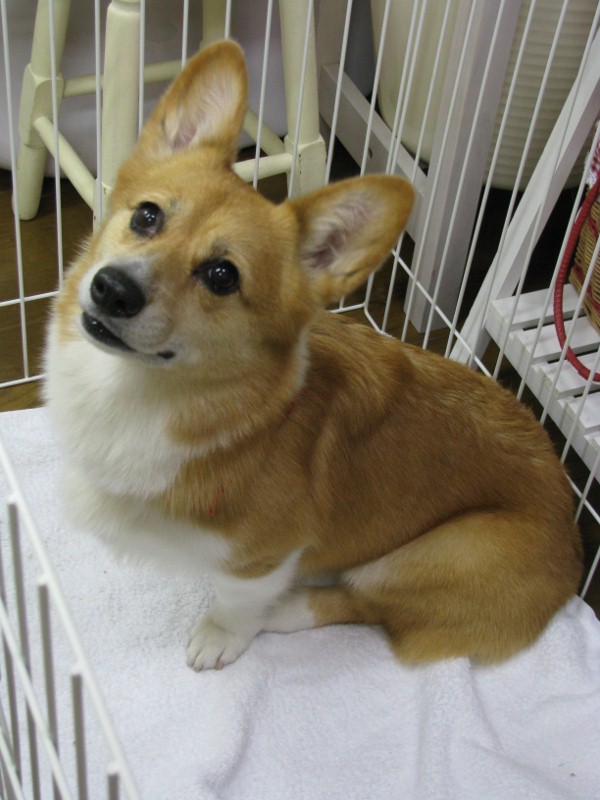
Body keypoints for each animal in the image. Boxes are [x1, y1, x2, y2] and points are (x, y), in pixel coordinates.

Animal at [44, 40, 583, 670]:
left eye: (222, 276)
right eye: (146, 215)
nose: (112, 289)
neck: (141, 393)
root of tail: (574, 556)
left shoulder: (261, 557)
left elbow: (237, 599)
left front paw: (221, 636)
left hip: (439, 553)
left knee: (360, 603)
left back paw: (289, 608)